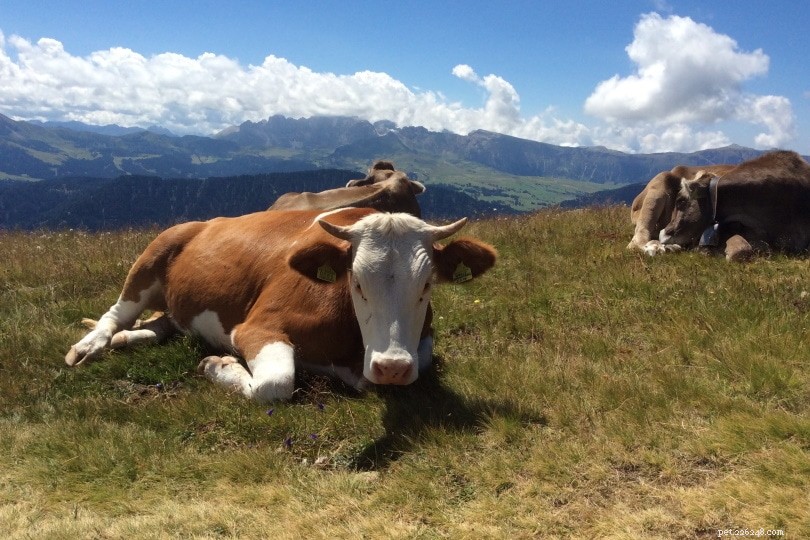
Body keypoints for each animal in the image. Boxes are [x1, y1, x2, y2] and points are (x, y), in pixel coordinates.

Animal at [65, 207, 497, 401]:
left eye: (427, 284)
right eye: (357, 282)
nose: (391, 367)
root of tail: (205, 222)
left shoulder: (420, 342)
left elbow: (419, 363)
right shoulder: (257, 327)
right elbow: (274, 384)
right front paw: (218, 365)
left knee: (164, 320)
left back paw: (130, 338)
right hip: (153, 255)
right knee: (116, 312)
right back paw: (92, 345)